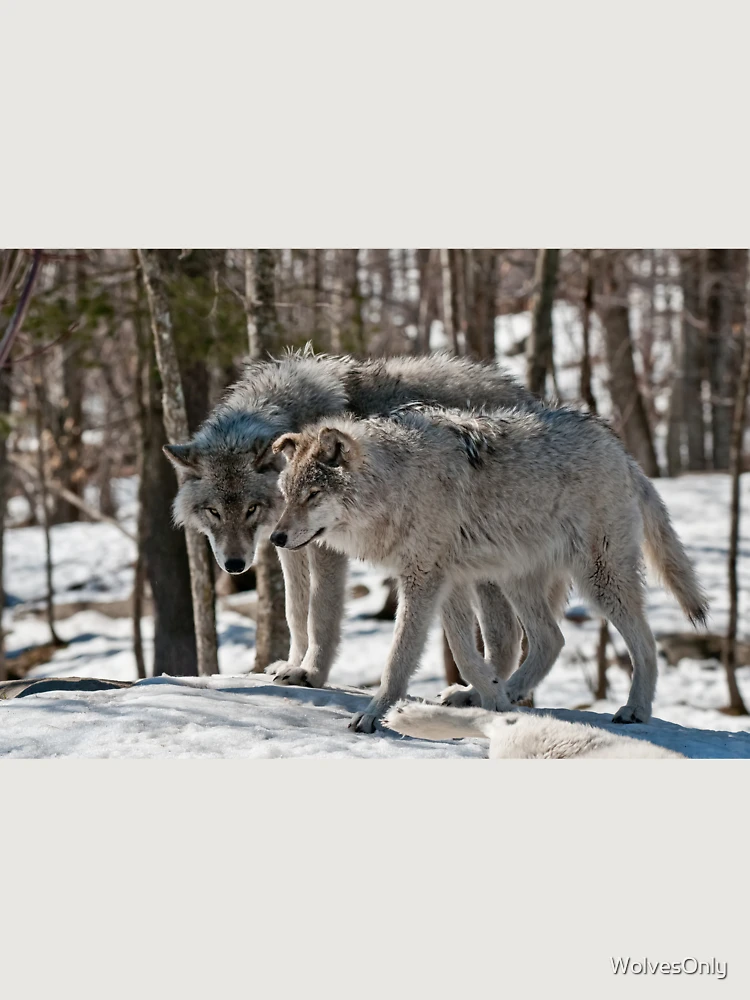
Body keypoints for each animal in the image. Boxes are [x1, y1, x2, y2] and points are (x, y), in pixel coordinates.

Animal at [163, 349, 541, 688]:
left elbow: (320, 614)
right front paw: (291, 663)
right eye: (214, 511)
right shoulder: (288, 543)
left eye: (250, 509)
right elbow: (295, 611)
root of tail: (527, 396)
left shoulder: (325, 546)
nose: (234, 565)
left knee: (507, 636)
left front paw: (311, 674)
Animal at [270, 404, 708, 733]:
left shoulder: (423, 580)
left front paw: (374, 714)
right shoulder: (446, 582)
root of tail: (624, 454)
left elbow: (399, 658)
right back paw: (499, 693)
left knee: (644, 644)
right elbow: (466, 653)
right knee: (552, 640)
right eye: (287, 495)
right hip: (514, 579)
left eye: (312, 495)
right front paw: (493, 698)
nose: (276, 537)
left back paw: (635, 710)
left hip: (599, 580)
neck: (397, 483)